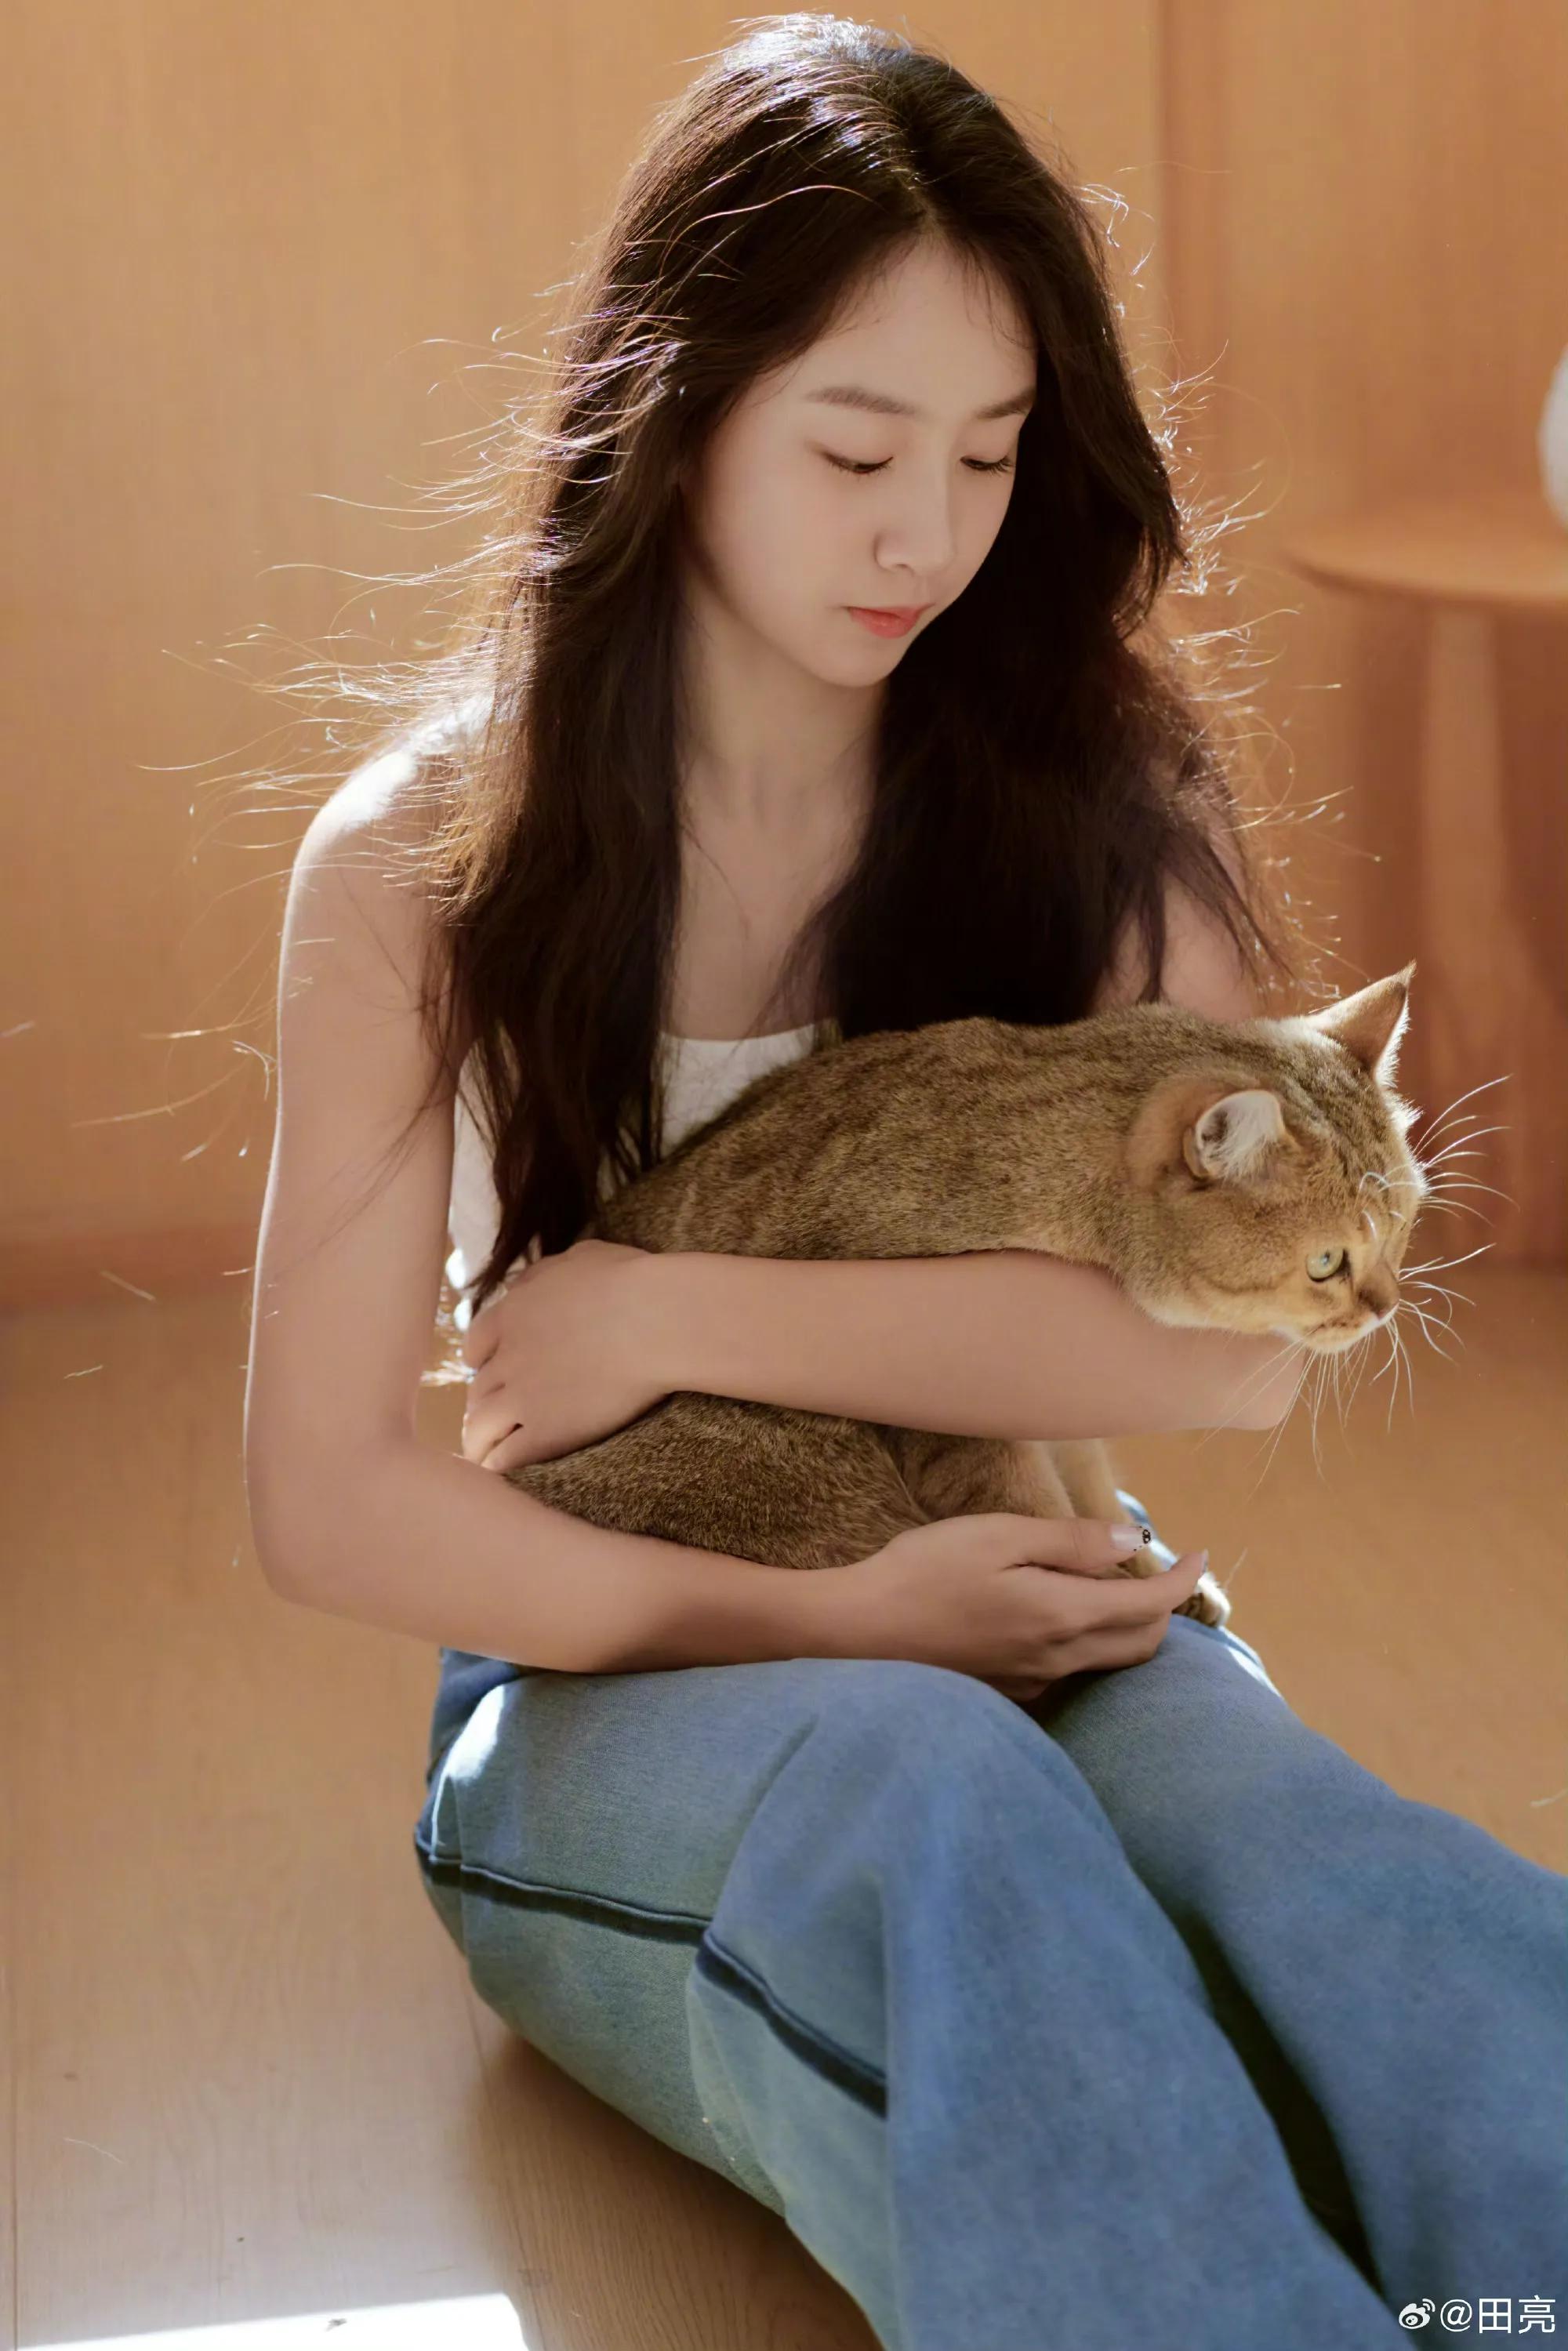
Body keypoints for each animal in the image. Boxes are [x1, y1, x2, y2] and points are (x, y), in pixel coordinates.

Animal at [504, 963, 1427, 1631]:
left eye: (1403, 1227)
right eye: (1325, 1261)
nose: (1386, 1304)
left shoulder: (1060, 1396)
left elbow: (1090, 1481)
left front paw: (1148, 1565)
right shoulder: (960, 1424)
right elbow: (1039, 1511)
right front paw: (1110, 1583)